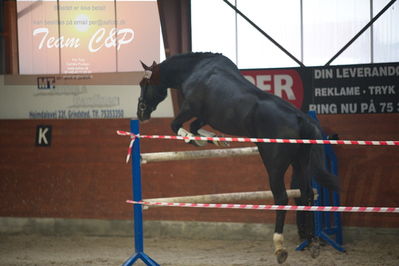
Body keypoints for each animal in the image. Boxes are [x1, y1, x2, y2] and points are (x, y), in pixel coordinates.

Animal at [136, 52, 340, 264]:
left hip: (274, 165)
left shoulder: (190, 108)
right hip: (301, 163)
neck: (196, 70)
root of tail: (302, 120)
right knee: (306, 194)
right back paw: (313, 242)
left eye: (144, 83)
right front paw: (214, 140)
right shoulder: (206, 116)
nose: (140, 111)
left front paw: (193, 139)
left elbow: (176, 125)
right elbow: (194, 126)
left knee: (282, 198)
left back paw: (280, 248)